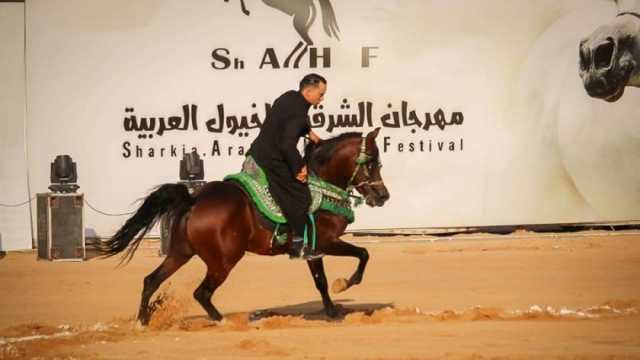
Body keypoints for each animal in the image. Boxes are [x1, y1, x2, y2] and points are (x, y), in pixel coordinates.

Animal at [100, 128, 390, 324]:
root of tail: (194, 200)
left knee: (151, 280)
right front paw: (346, 283)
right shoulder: (326, 242)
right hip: (223, 261)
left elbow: (320, 280)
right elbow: (363, 254)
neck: (319, 185)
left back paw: (142, 321)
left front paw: (331, 310)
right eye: (371, 163)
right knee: (201, 293)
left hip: (181, 253)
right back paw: (224, 321)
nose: (383, 196)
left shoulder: (313, 249)